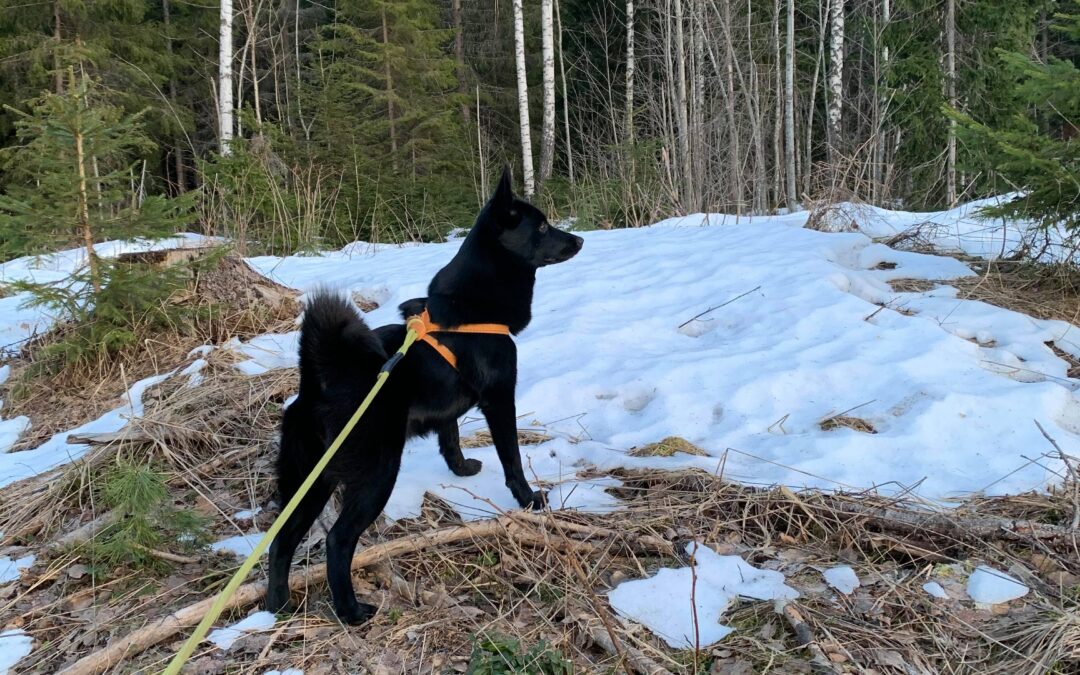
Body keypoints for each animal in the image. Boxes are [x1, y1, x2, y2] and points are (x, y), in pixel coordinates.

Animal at [265, 167, 583, 622]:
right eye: (540, 226)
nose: (579, 240)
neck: (474, 306)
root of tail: (318, 384)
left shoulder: (449, 407)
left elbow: (449, 436)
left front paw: (462, 469)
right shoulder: (500, 398)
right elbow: (511, 457)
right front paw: (527, 499)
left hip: (310, 480)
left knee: (282, 539)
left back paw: (278, 606)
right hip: (377, 473)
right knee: (338, 541)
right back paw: (350, 610)